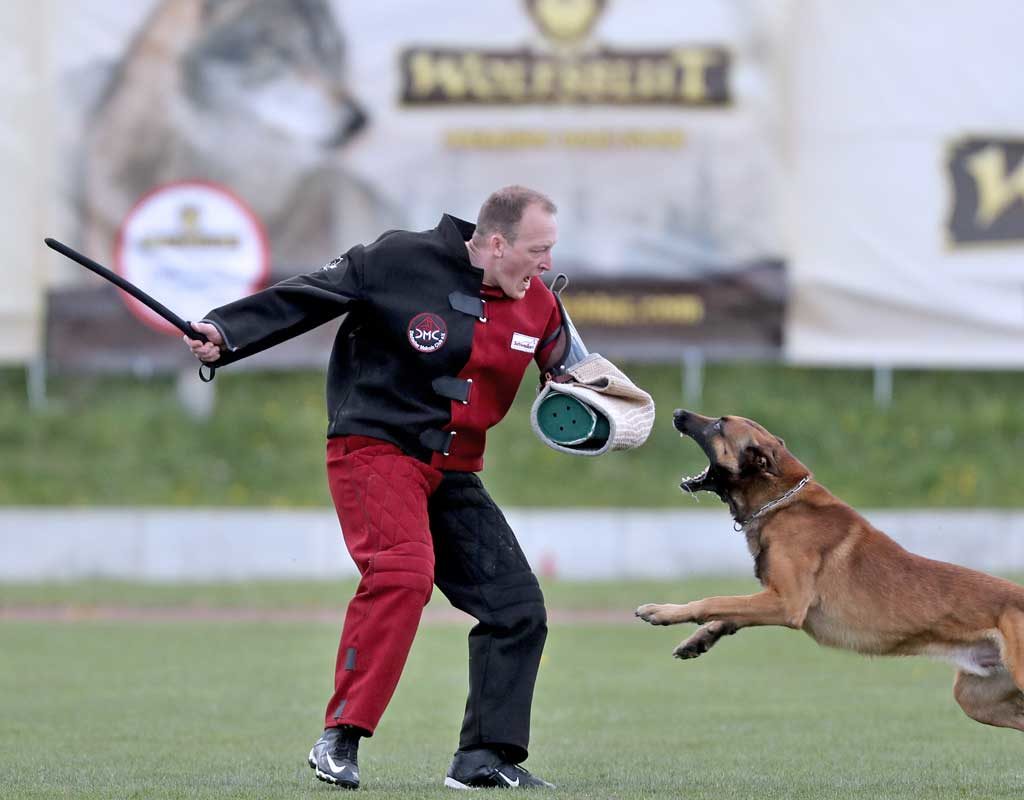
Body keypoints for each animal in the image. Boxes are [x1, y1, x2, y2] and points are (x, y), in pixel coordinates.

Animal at [630, 409, 1024, 733]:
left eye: (718, 425)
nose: (678, 413)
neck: (782, 501)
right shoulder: (774, 597)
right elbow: (728, 613)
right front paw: (698, 640)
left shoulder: (787, 604)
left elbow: (714, 600)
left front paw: (663, 612)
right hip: (975, 697)